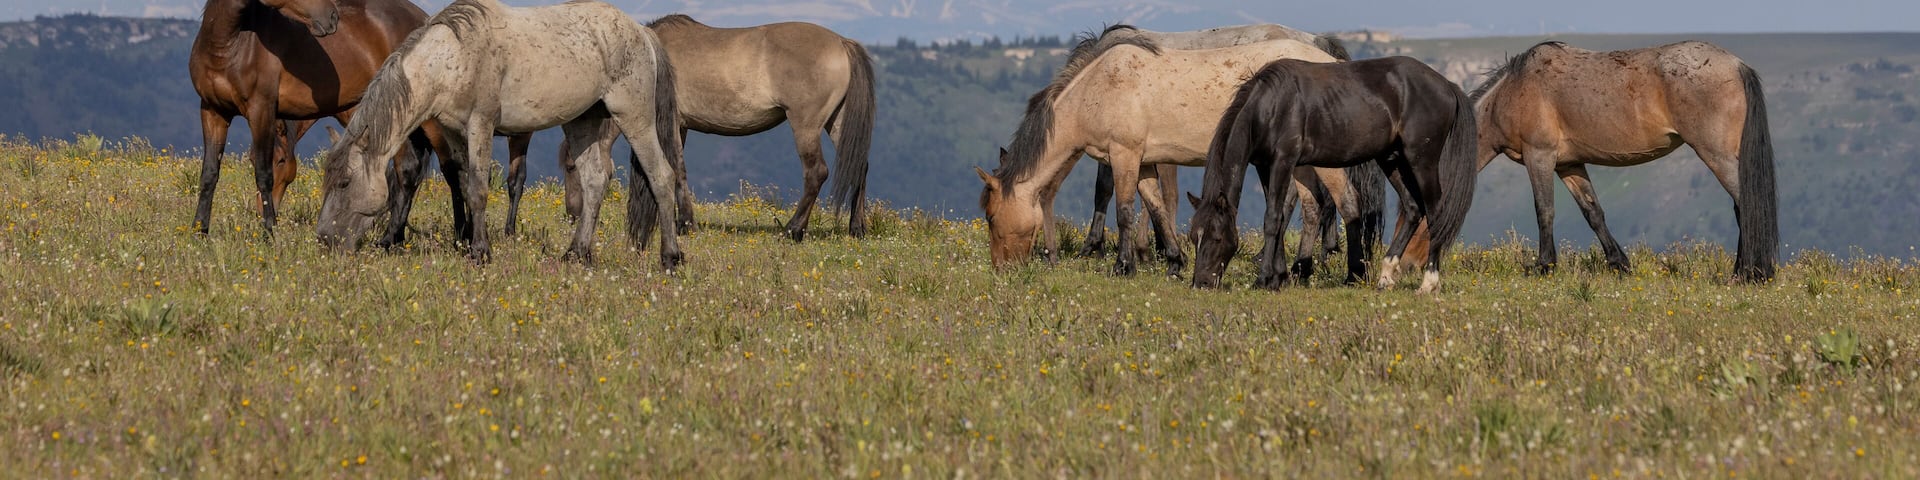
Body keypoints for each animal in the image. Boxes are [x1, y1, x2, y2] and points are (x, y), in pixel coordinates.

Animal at [189, 0, 437, 240]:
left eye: (281, 160)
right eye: (247, 159)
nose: (332, 17)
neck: (228, 45)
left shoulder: (261, 111)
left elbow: (263, 174)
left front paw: (269, 235)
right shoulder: (212, 111)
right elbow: (209, 173)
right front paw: (199, 233)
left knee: (407, 170)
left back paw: (390, 239)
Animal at [316, 0, 685, 271]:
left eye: (345, 182)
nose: (324, 239)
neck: (455, 57)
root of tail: (642, 31)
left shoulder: (480, 125)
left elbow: (479, 190)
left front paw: (480, 251)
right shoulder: (453, 133)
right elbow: (465, 186)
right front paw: (467, 242)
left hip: (634, 118)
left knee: (661, 176)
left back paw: (670, 257)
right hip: (583, 122)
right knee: (595, 179)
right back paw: (576, 253)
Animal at [975, 38, 1338, 276]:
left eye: (991, 217)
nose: (1001, 269)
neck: (1097, 90)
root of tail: (1331, 60)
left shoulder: (1123, 154)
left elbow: (1124, 211)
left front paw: (1123, 266)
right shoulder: (1145, 161)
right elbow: (1156, 206)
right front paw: (1175, 262)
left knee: (1319, 205)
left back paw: (1303, 269)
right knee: (1310, 206)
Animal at [1188, 57, 1478, 294]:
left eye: (1216, 237)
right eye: (1193, 237)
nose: (1201, 283)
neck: (1270, 106)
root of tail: (1447, 85)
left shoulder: (1283, 161)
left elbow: (1272, 219)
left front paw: (1263, 280)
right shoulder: (1264, 165)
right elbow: (1279, 218)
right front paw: (1278, 278)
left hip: (1421, 161)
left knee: (1436, 213)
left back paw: (1428, 282)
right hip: (1392, 160)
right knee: (1413, 208)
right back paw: (1385, 277)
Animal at [1400, 41, 1777, 283]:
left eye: (1417, 214)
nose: (1404, 264)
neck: (1512, 93)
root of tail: (1737, 65)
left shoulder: (1540, 157)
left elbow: (1544, 211)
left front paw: (1544, 266)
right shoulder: (1569, 165)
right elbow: (1593, 213)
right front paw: (1619, 264)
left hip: (1715, 153)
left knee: (1746, 205)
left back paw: (1748, 274)